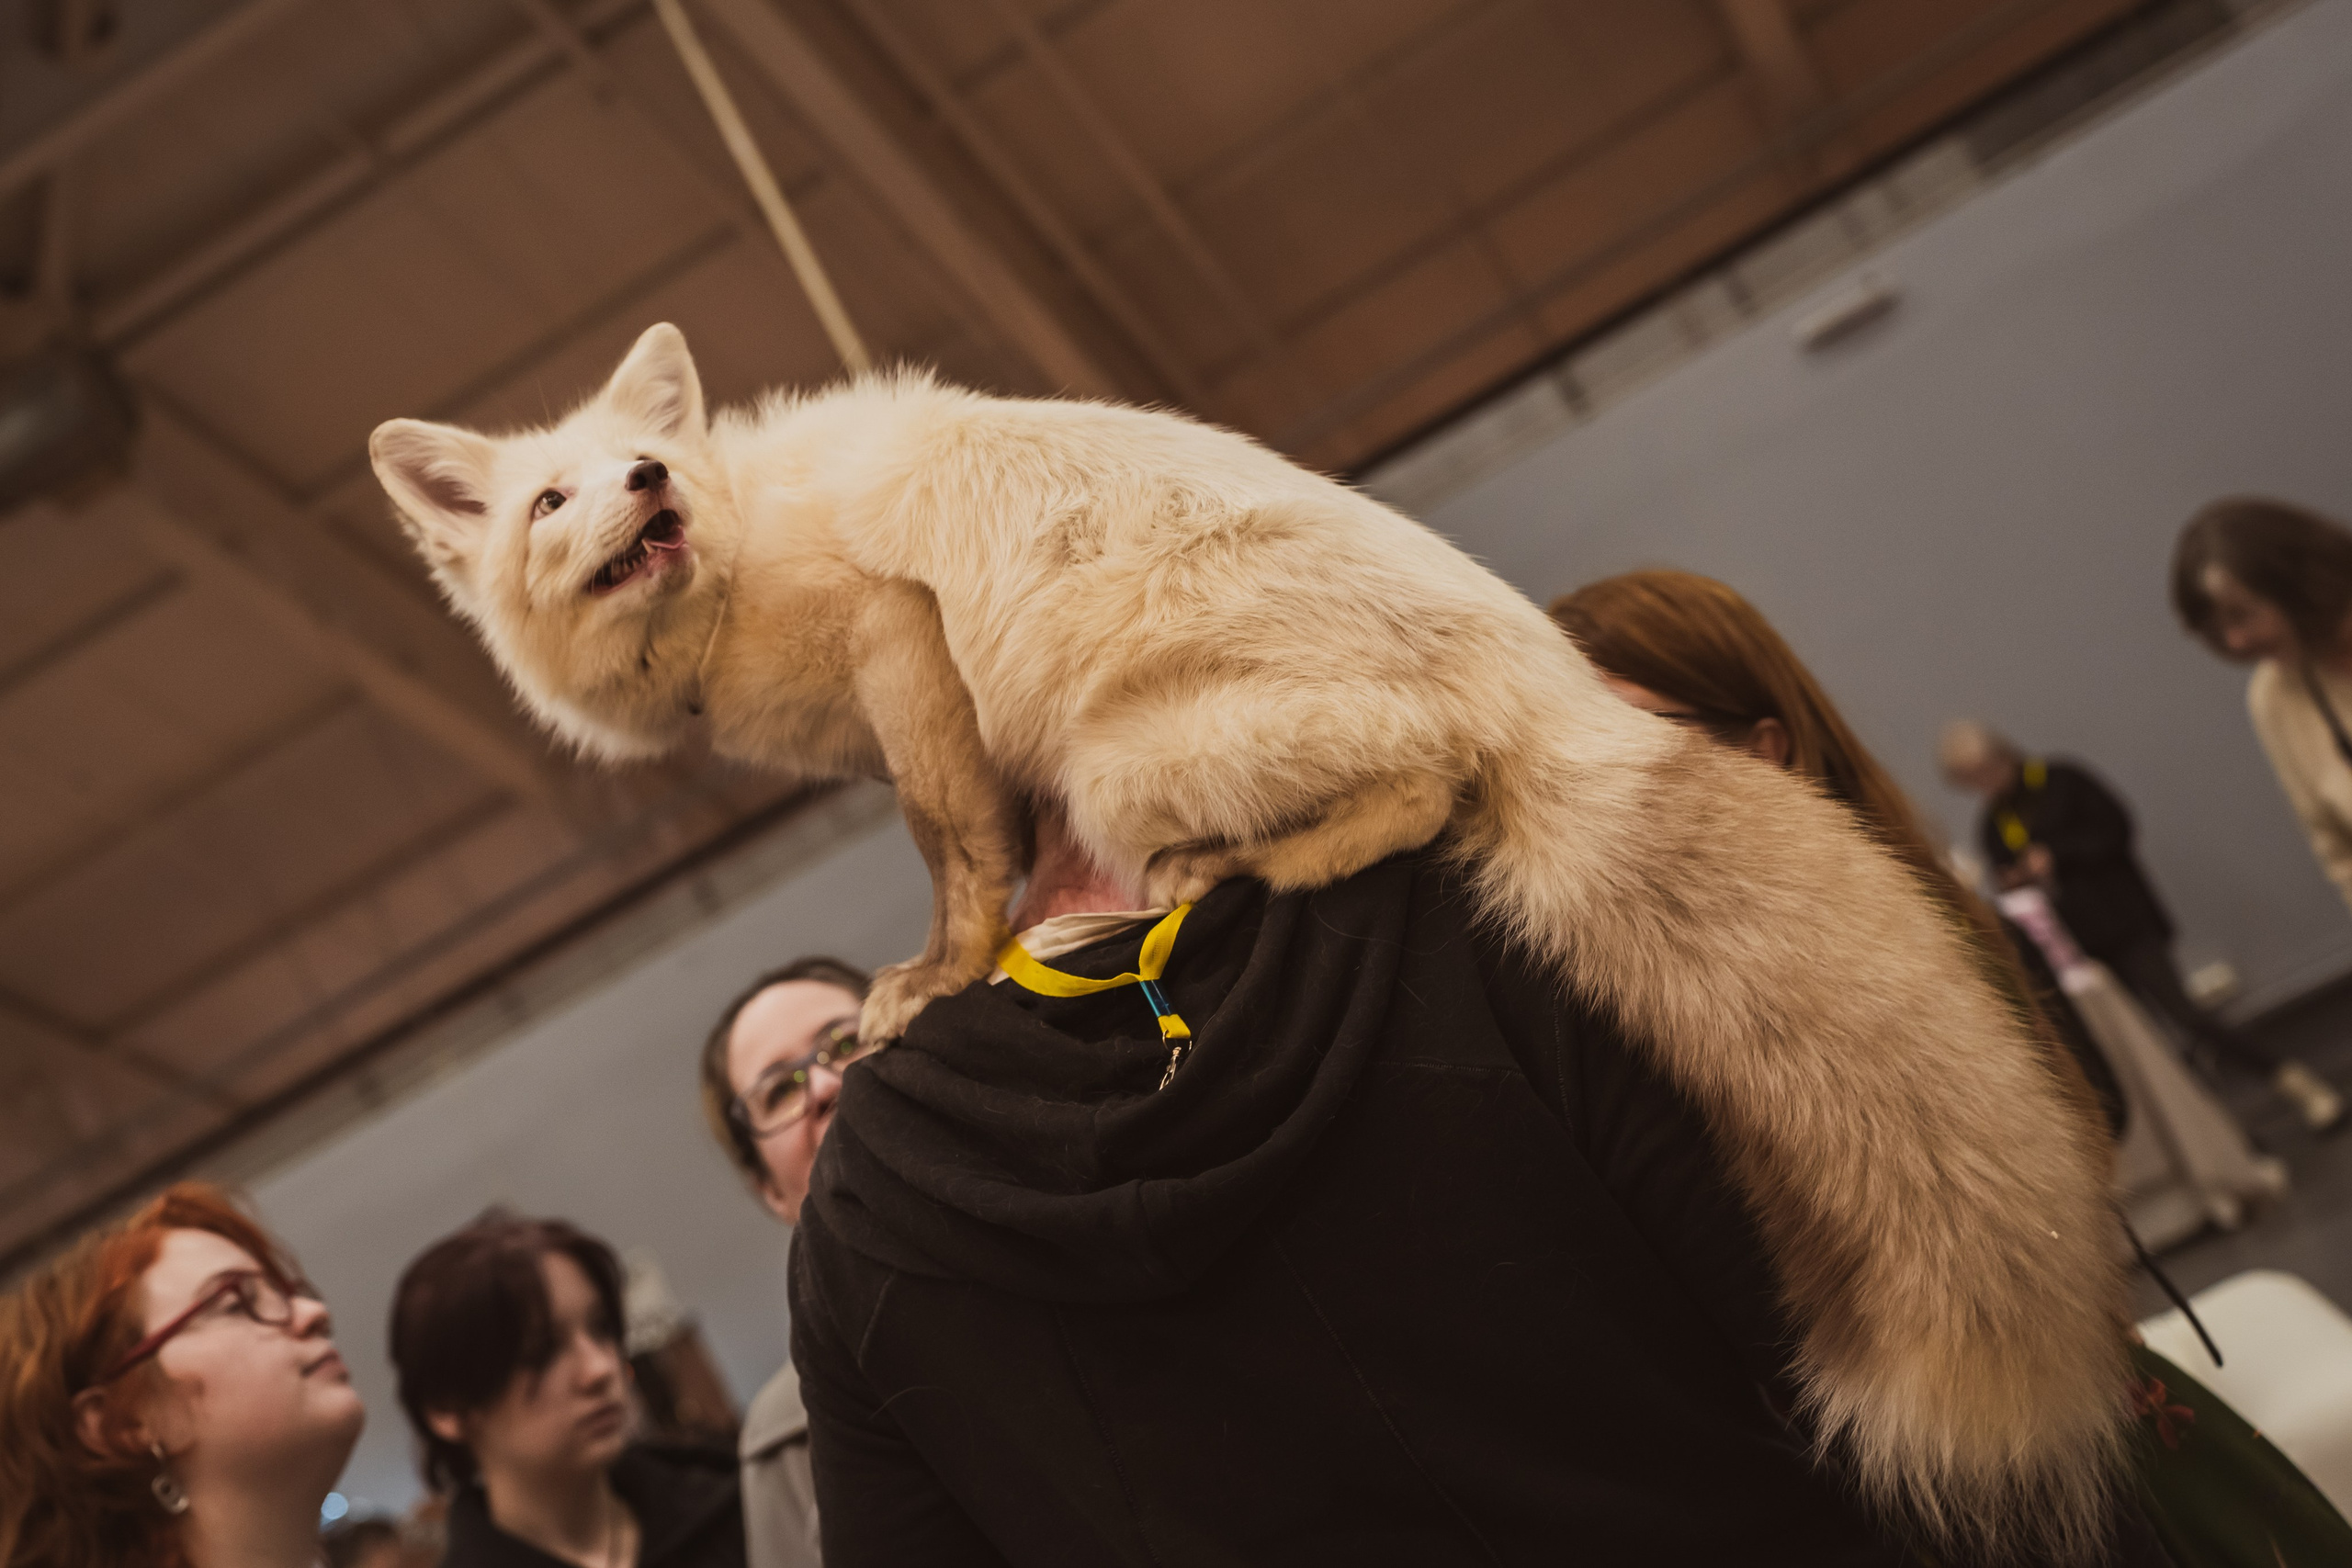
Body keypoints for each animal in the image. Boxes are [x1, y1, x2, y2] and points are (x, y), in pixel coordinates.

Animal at [372, 322, 2127, 1560]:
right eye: (553, 496)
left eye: (640, 460)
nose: (648, 493)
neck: (739, 559)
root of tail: (1549, 687)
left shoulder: (903, 648)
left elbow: (961, 858)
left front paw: (932, 981)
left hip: (1128, 763)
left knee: (1424, 793)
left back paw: (1239, 870)